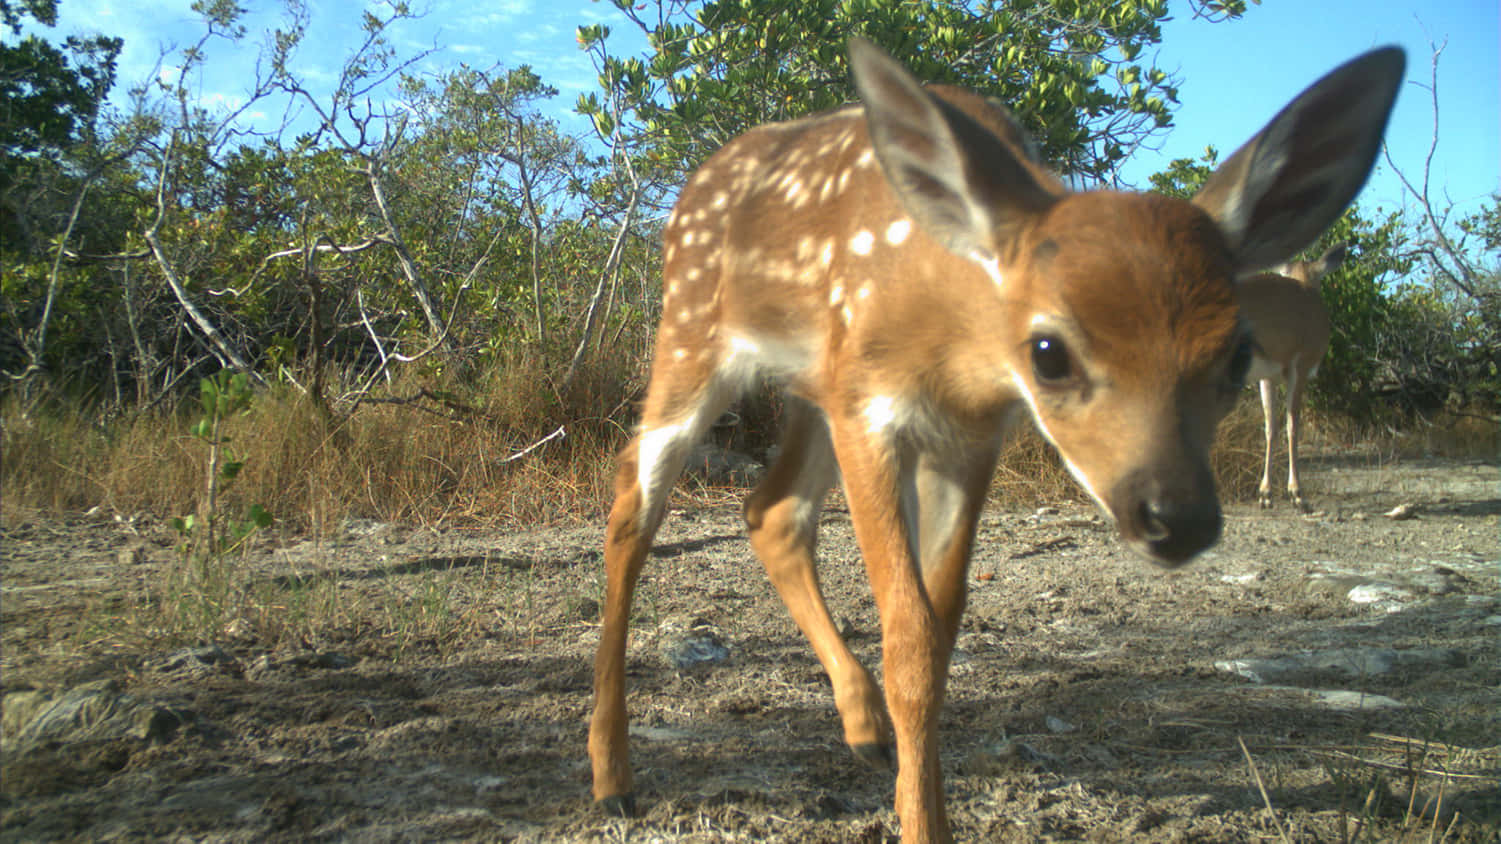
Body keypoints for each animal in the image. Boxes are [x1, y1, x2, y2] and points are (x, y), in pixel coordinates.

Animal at [1236, 243, 1348, 511]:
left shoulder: (1268, 377)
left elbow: (1271, 427)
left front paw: (1265, 494)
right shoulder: (1301, 366)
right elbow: (1293, 425)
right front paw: (1297, 493)